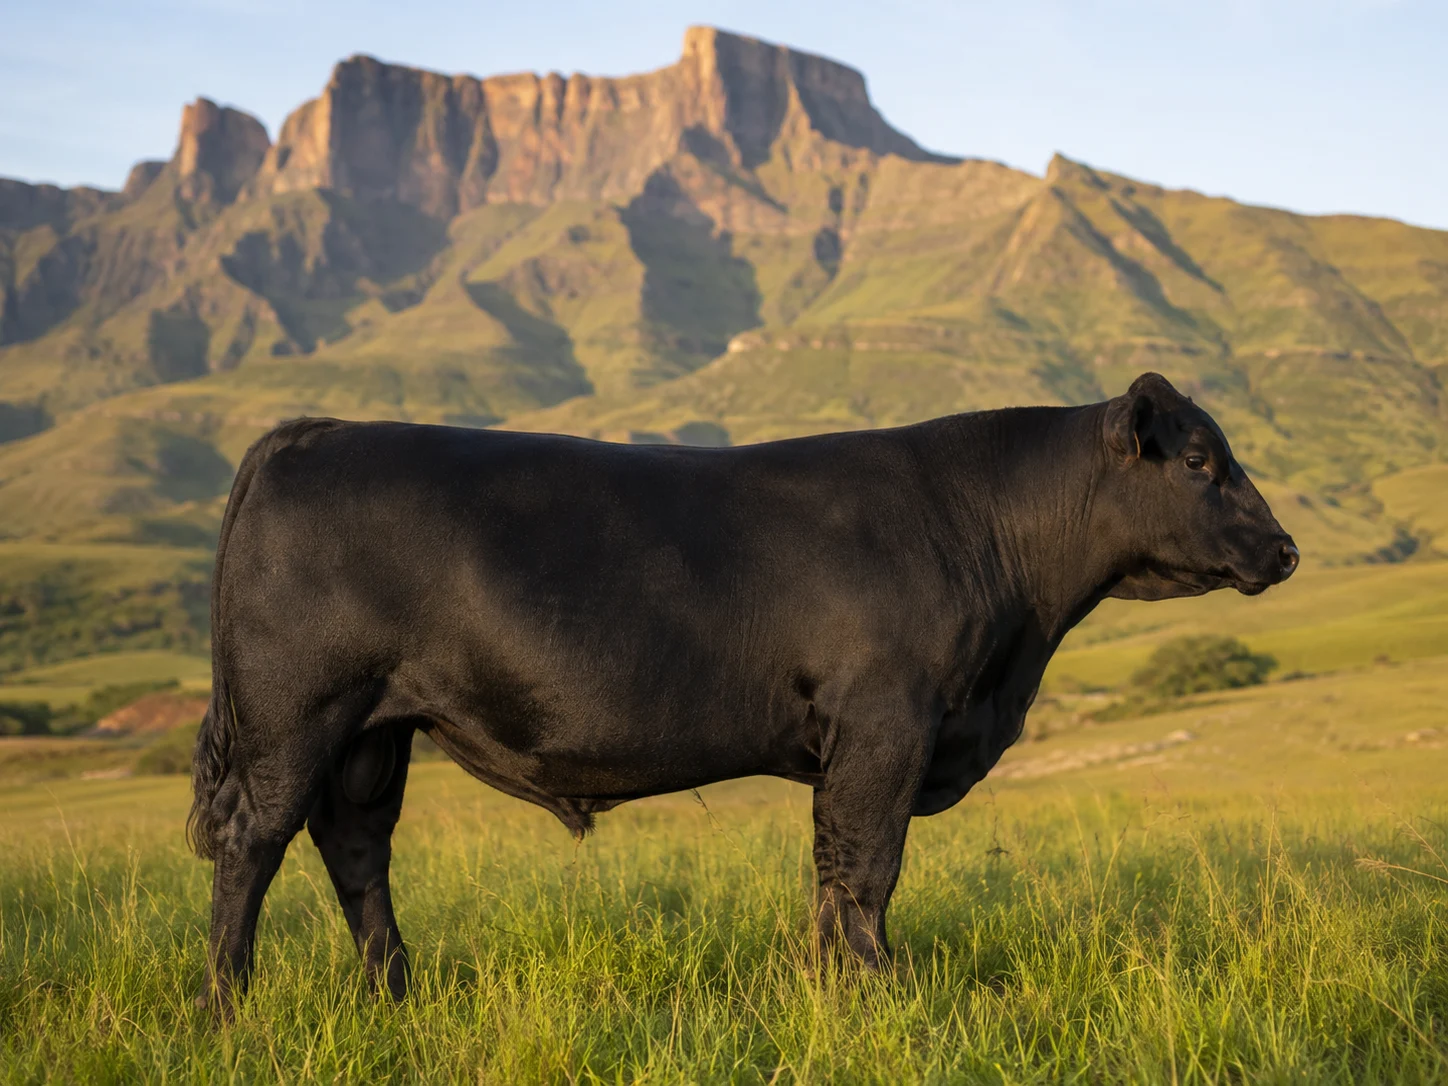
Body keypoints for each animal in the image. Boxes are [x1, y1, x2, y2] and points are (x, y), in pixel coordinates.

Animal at [189, 372, 1298, 1018]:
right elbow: (865, 869)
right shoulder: (886, 725)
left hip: (374, 732)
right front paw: (881, 998)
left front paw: (828, 995)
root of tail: (308, 432)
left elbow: (832, 874)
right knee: (254, 841)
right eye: (1199, 459)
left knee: (355, 849)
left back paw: (396, 995)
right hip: (296, 713)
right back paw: (226, 1007)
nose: (1285, 549)